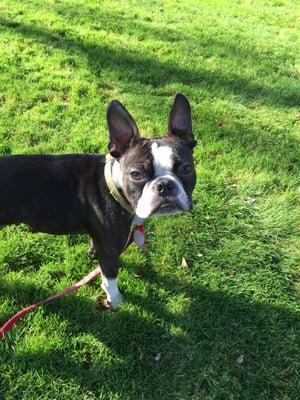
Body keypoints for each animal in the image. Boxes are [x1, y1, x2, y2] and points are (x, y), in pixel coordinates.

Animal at [0, 94, 197, 310]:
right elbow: (111, 278)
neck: (115, 187)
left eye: (187, 169)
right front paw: (115, 301)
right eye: (136, 175)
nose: (164, 185)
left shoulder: (102, 243)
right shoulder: (109, 247)